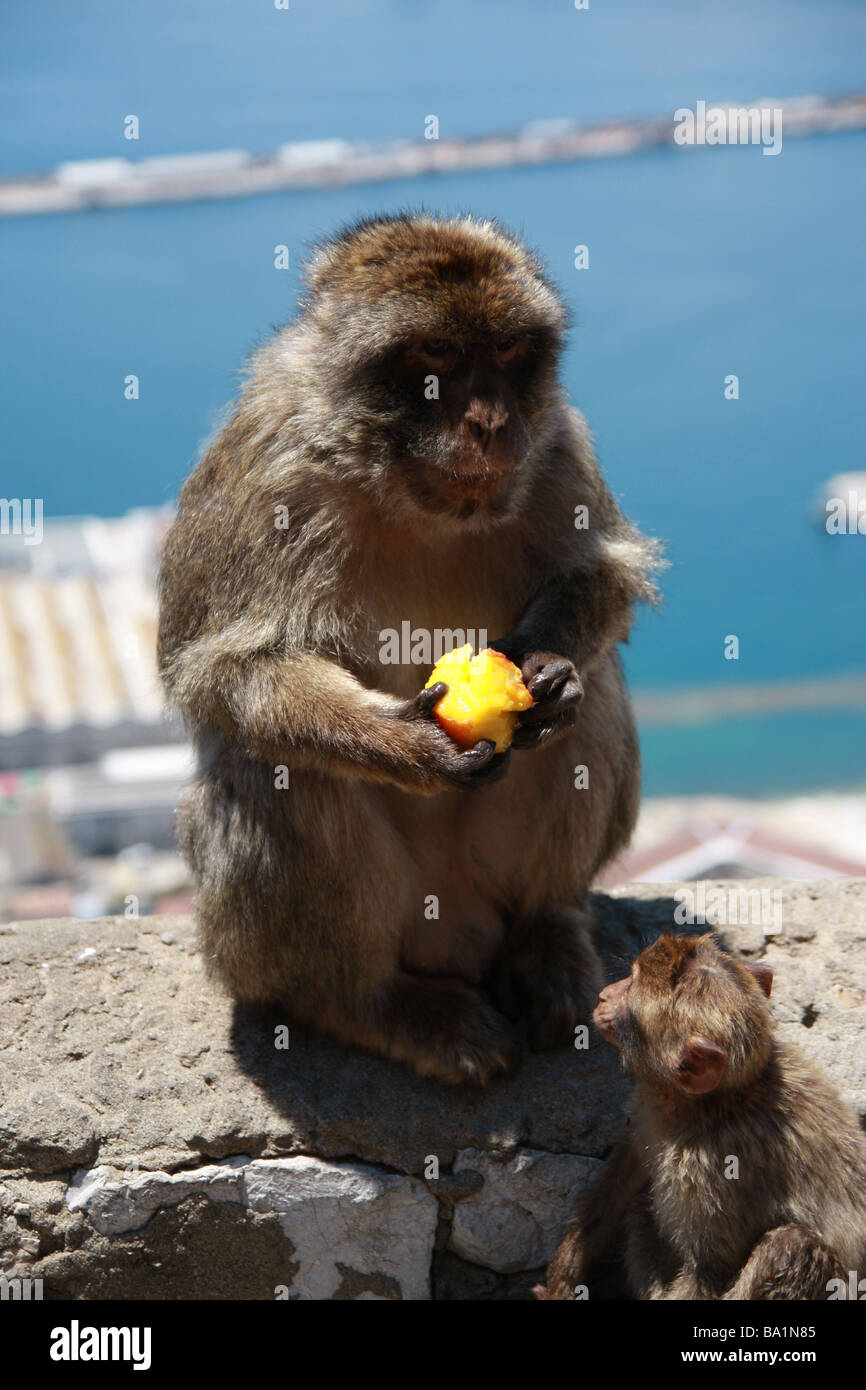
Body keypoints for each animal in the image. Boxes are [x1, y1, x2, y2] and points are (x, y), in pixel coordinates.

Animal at [159, 216, 661, 1084]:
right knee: (278, 769)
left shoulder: (556, 439)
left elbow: (601, 573)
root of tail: (455, 933)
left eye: (507, 352)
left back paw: (545, 935)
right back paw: (370, 1004)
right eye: (435, 354)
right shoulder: (264, 463)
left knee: (596, 701)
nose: (491, 421)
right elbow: (224, 669)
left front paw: (545, 672)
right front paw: (405, 745)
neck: (400, 483)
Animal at [539, 934, 861, 1301]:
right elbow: (625, 1175)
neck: (713, 1103)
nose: (604, 995)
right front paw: (560, 1281)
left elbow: (707, 1273)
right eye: (630, 976)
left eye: (630, 988)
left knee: (792, 1244)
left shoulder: (713, 1171)